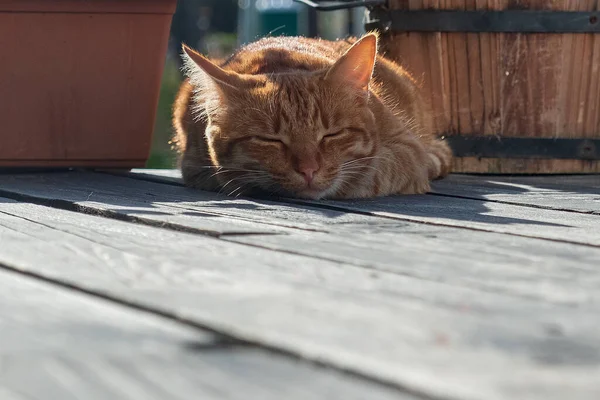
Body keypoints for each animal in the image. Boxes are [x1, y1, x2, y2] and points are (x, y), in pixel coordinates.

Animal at [171, 32, 452, 198]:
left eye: (332, 134)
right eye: (270, 140)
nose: (308, 171)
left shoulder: (408, 150)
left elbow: (367, 175)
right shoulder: (194, 166)